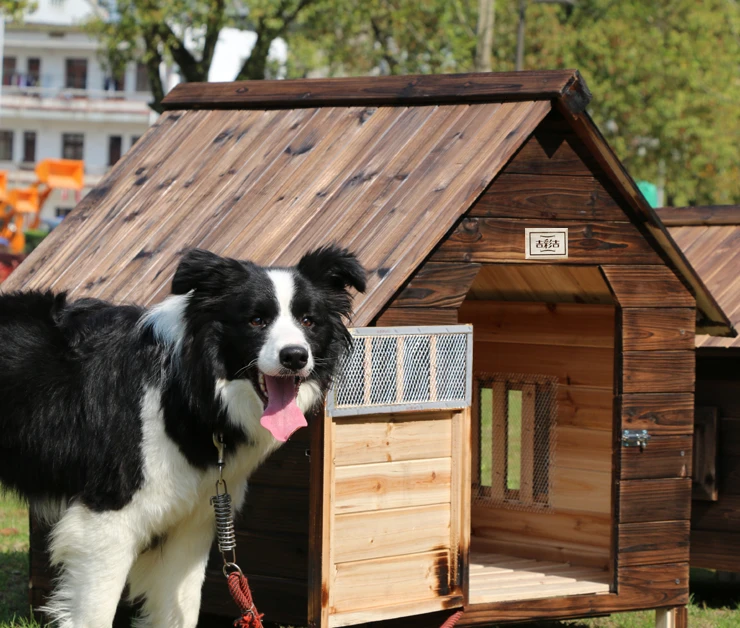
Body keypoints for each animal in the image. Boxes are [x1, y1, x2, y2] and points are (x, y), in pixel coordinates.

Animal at [0, 248, 368, 624]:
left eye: (308, 321)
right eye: (256, 321)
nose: (295, 356)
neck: (191, 390)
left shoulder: (192, 525)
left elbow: (183, 610)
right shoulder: (107, 520)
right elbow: (95, 614)